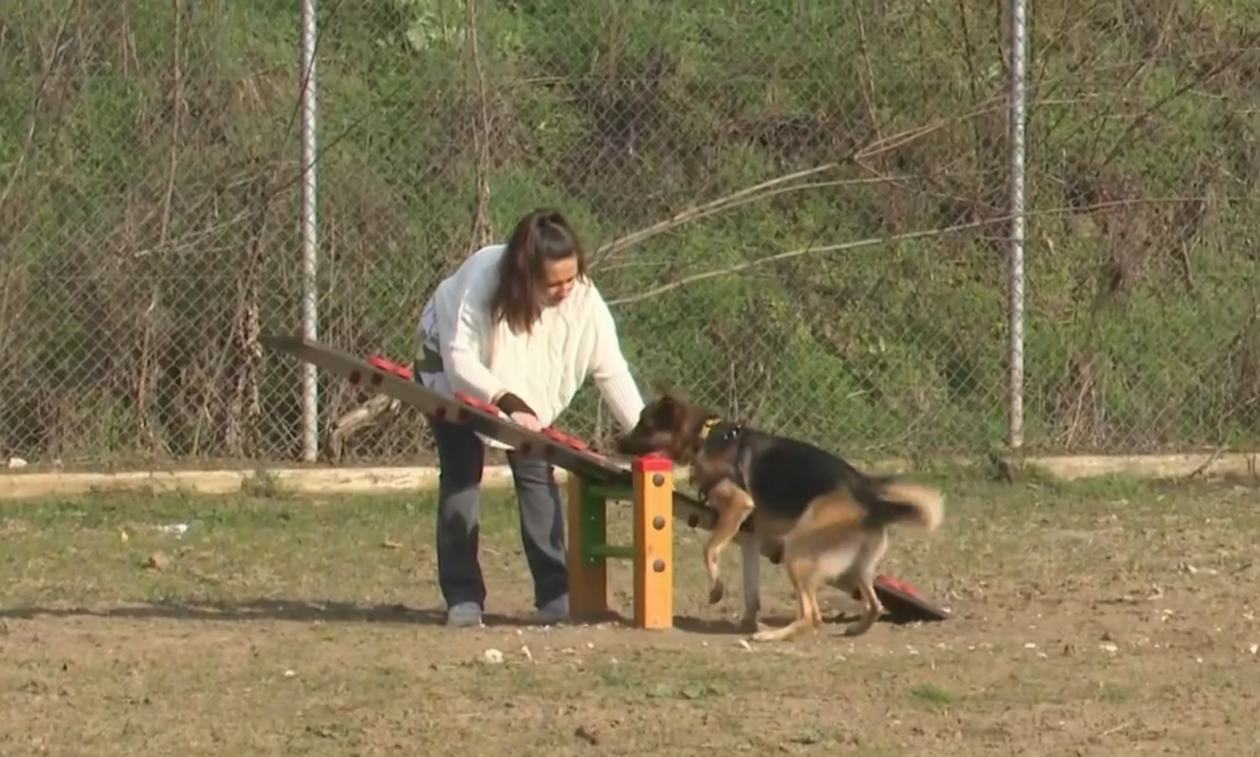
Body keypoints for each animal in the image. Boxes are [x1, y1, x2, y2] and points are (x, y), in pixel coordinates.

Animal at [614, 387, 942, 639]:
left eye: (643, 425)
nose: (617, 442)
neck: (705, 436)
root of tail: (870, 500)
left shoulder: (737, 506)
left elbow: (709, 550)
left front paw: (717, 590)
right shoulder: (750, 534)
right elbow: (750, 588)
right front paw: (748, 620)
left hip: (796, 552)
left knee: (812, 616)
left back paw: (771, 636)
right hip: (857, 567)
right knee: (873, 604)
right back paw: (854, 630)